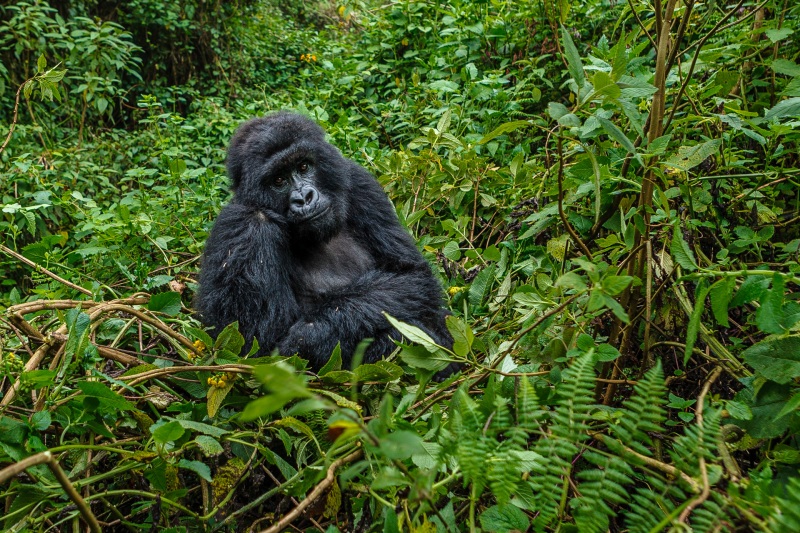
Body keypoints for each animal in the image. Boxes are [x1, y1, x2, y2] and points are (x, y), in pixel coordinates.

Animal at [195, 110, 456, 372]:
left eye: (303, 166)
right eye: (278, 181)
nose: (304, 198)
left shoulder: (359, 181)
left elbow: (410, 273)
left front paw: (311, 334)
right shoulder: (245, 227)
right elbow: (256, 346)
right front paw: (307, 337)